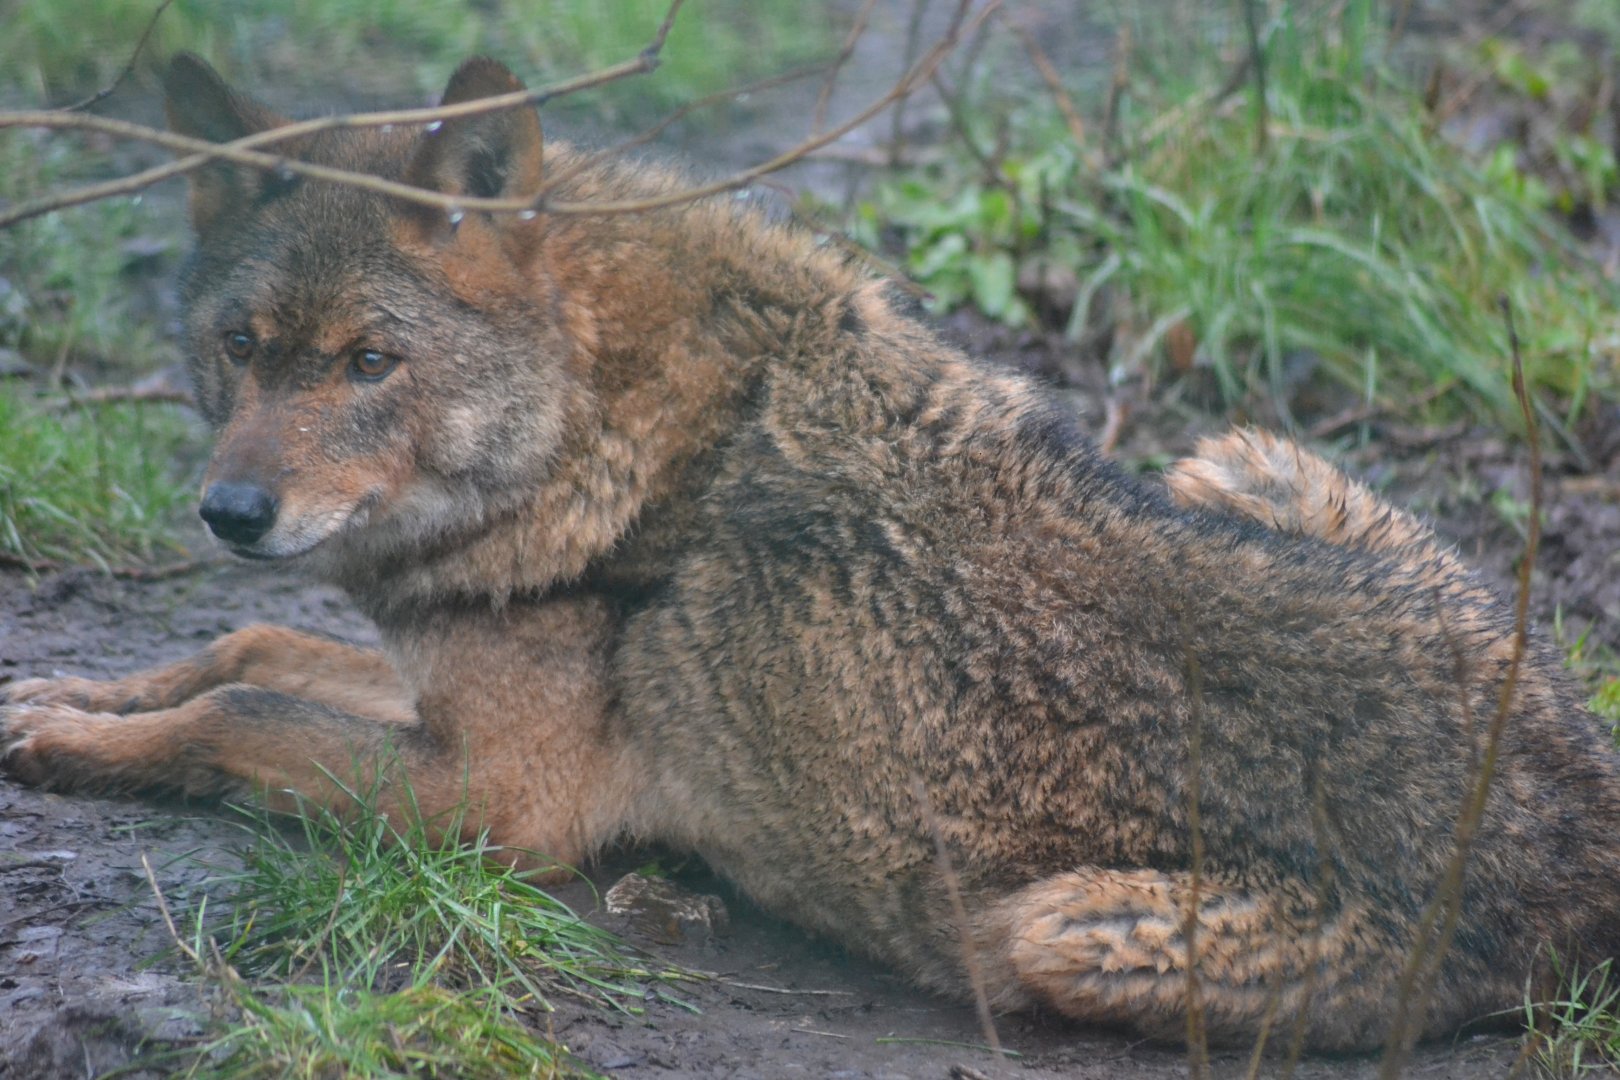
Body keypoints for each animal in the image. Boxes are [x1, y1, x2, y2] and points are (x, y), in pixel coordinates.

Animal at [4, 54, 1618, 1052]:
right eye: (241, 347)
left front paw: (77, 744)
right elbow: (247, 645)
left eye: (368, 361)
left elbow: (237, 706)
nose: (229, 513)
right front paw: (54, 702)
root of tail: (1585, 818)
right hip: (1225, 459)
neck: (593, 434)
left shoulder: (501, 808)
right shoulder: (429, 689)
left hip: (1038, 927)